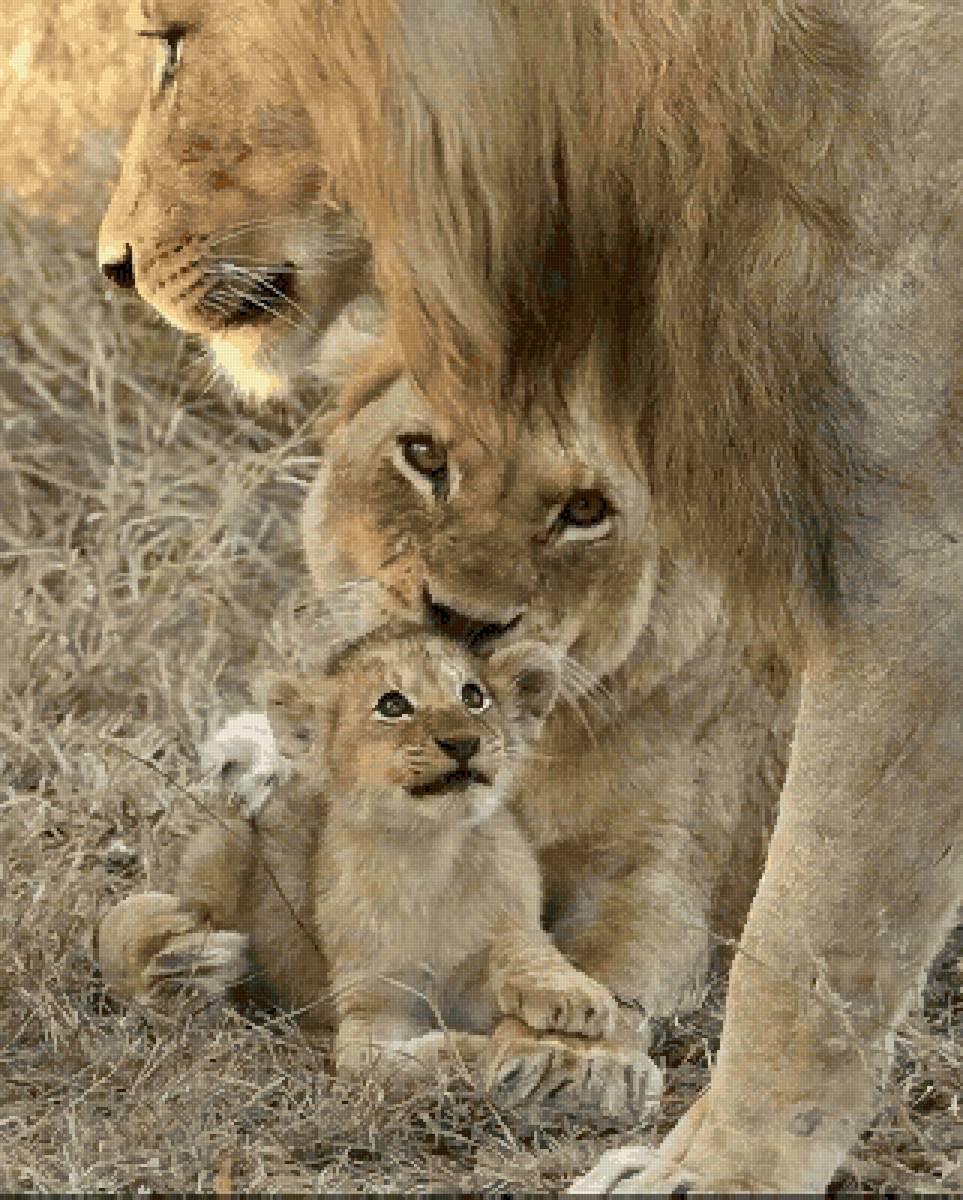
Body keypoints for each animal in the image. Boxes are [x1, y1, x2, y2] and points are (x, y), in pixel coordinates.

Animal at [99, 0, 960, 1192]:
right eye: (423, 459)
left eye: (173, 41)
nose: (114, 264)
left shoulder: (909, 554)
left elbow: (811, 931)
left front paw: (705, 1169)